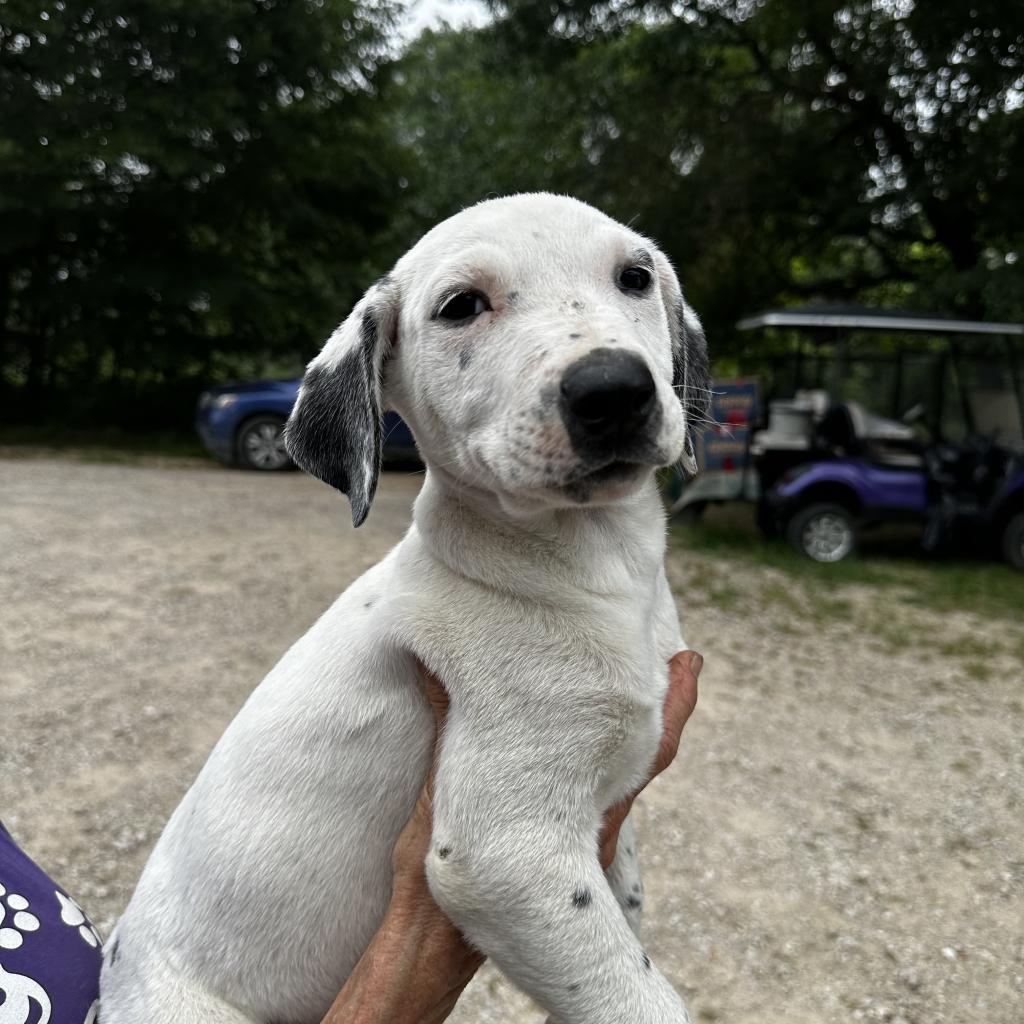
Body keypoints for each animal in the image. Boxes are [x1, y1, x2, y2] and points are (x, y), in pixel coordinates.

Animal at [103, 193, 712, 1024]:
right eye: (461, 306)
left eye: (636, 277)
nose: (615, 389)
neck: (597, 568)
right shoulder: (503, 851)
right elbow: (640, 997)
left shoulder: (606, 813)